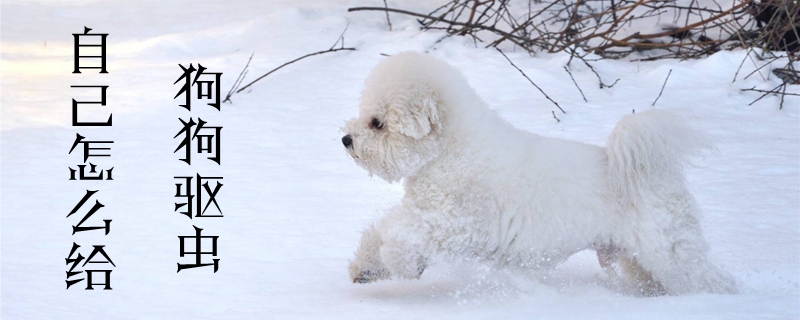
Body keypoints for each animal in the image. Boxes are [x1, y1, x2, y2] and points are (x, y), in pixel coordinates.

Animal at [340, 52, 736, 296]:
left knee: (709, 280)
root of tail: (653, 173)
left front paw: (400, 264)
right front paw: (367, 268)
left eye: (377, 123)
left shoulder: (455, 221)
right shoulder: (428, 213)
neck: (452, 152)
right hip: (638, 259)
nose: (346, 139)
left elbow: (399, 233)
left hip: (669, 253)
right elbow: (382, 231)